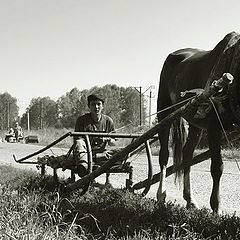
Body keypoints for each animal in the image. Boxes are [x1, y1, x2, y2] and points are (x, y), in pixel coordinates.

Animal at [157, 31, 240, 213]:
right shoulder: (214, 127)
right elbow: (217, 167)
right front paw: (216, 207)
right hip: (164, 112)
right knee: (164, 156)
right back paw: (161, 195)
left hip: (195, 123)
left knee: (187, 155)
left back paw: (190, 199)